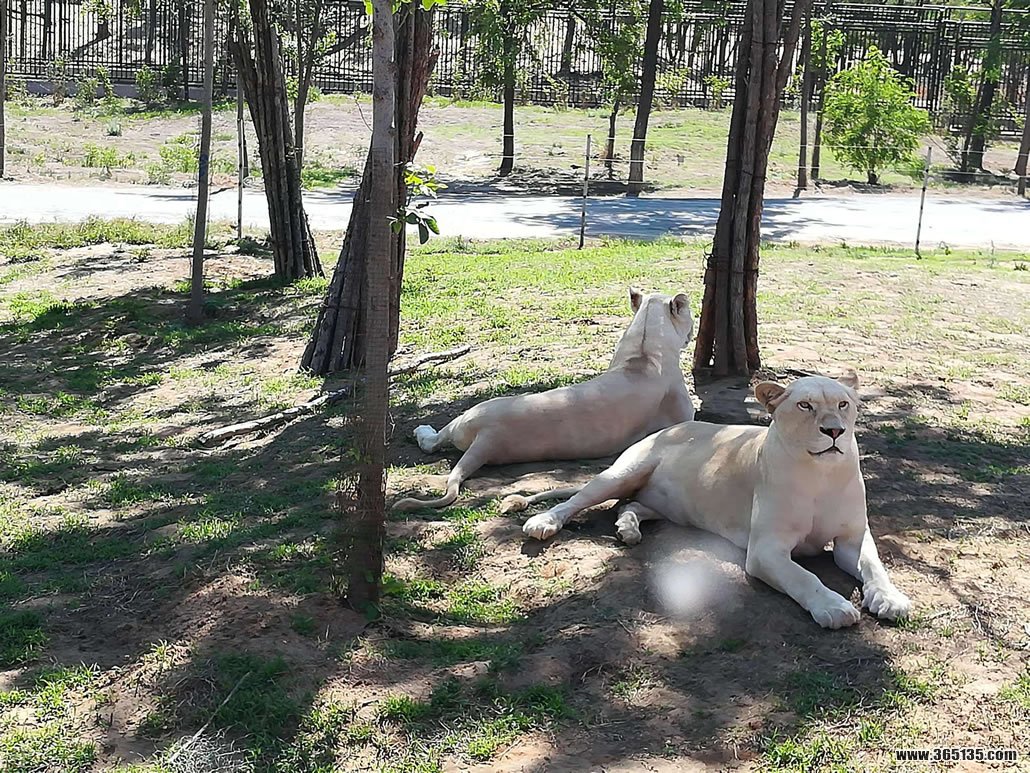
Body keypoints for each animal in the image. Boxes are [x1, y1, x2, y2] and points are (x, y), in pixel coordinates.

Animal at [392, 288, 697, 512]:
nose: (692, 331)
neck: (644, 351)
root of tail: (487, 437)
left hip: (466, 421)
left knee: (433, 444)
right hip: (470, 413)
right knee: (431, 441)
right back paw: (422, 428)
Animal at [519, 373, 912, 629]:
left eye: (843, 404)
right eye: (805, 406)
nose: (834, 431)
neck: (821, 475)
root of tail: (672, 427)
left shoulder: (852, 538)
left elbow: (874, 567)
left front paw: (890, 599)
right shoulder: (765, 550)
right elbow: (804, 577)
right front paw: (833, 607)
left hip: (664, 504)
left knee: (631, 505)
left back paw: (627, 530)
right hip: (624, 472)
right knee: (577, 500)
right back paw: (543, 522)